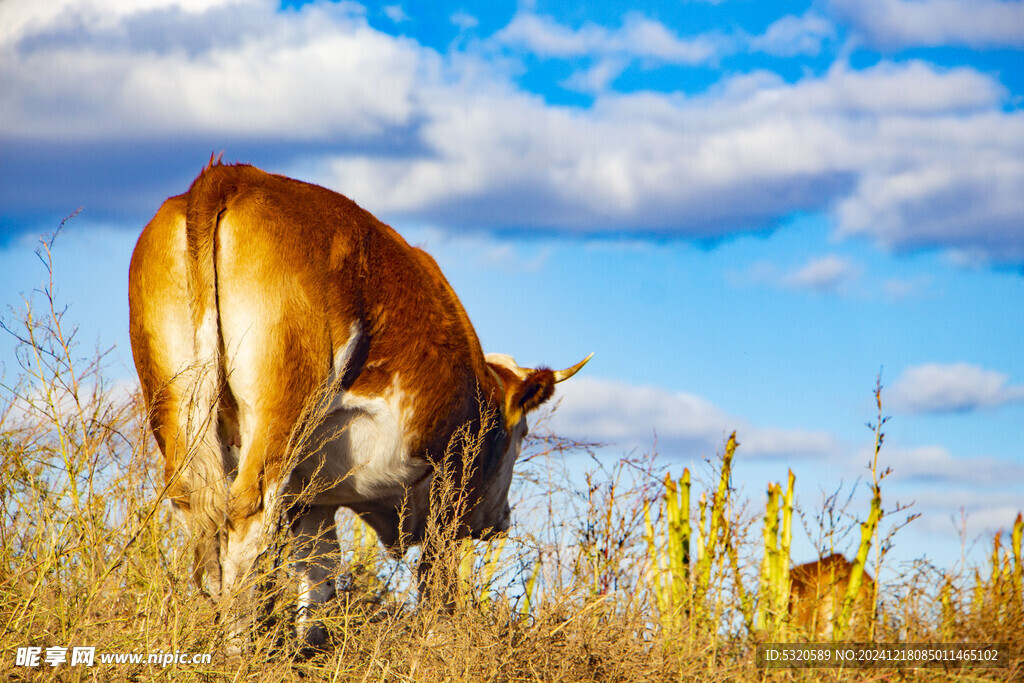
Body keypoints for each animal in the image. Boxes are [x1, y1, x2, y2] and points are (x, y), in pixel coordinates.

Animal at [128, 161, 593, 647]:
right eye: (523, 433)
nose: (501, 519)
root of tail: (230, 177)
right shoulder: (449, 476)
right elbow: (437, 580)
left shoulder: (312, 495)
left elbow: (319, 570)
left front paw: (310, 646)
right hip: (283, 411)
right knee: (246, 521)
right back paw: (239, 646)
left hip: (176, 406)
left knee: (198, 514)